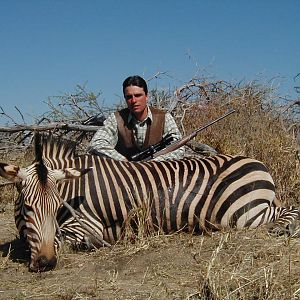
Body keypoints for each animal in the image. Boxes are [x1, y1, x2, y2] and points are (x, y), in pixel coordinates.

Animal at [0, 134, 298, 272]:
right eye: (28, 207)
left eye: (56, 206)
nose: (46, 263)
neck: (76, 187)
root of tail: (256, 162)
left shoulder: (89, 225)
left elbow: (64, 240)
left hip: (243, 214)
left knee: (289, 208)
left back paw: (282, 228)